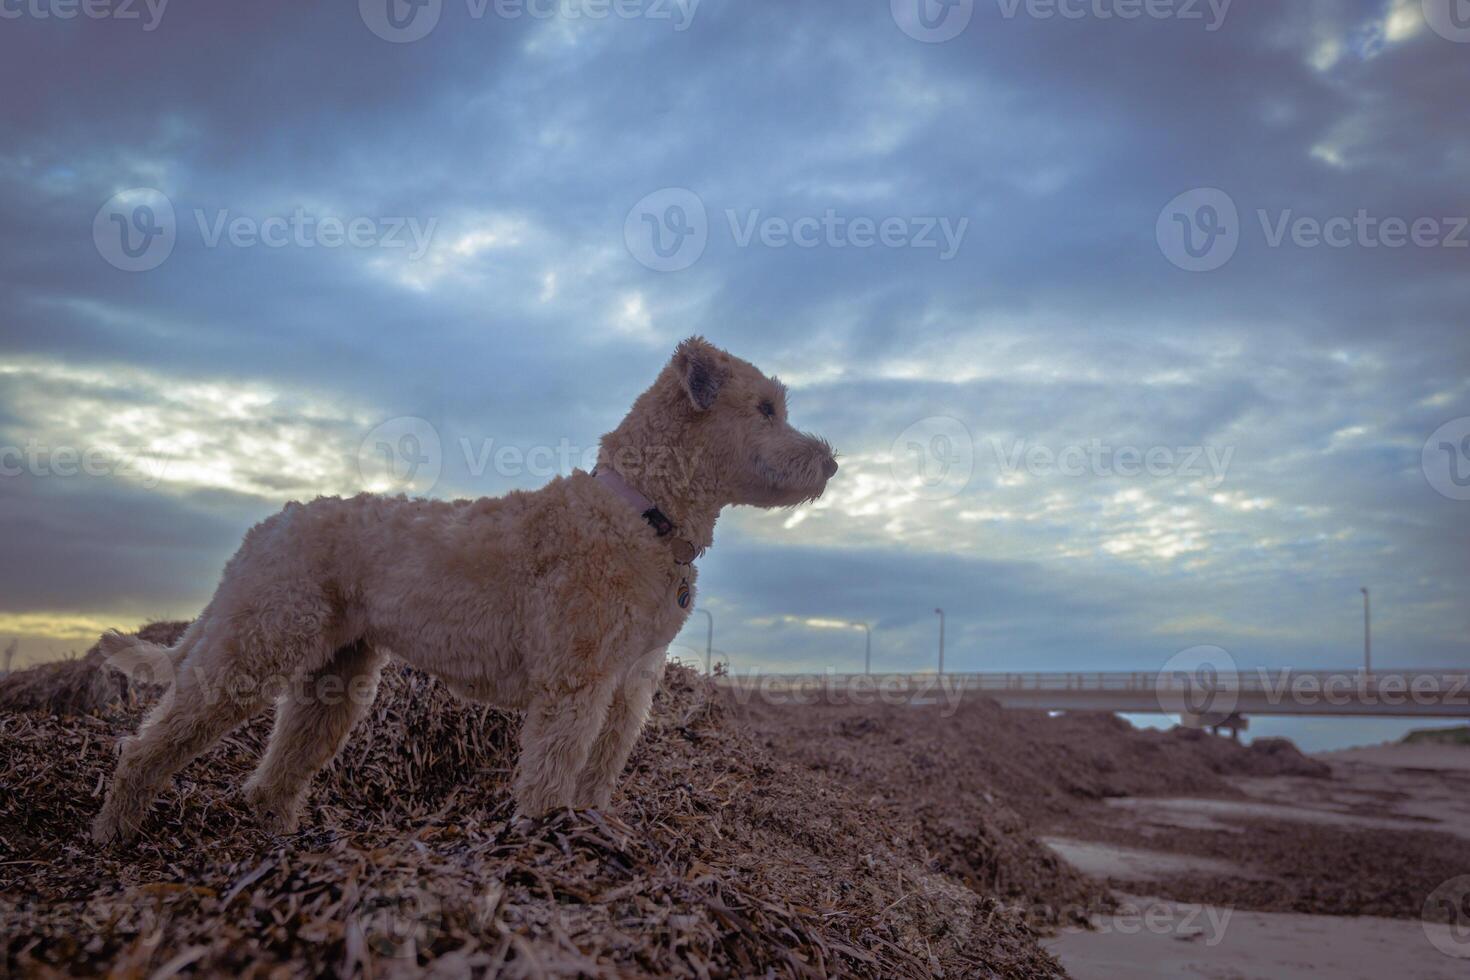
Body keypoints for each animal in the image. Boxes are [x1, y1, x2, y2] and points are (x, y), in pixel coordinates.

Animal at [94, 339, 840, 846]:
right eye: (765, 408)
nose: (832, 462)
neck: (640, 512)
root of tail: (266, 526)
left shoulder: (631, 683)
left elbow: (600, 769)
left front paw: (595, 831)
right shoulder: (576, 682)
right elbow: (554, 767)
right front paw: (547, 834)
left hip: (336, 678)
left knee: (280, 764)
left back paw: (277, 833)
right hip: (254, 647)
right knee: (148, 744)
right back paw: (115, 829)